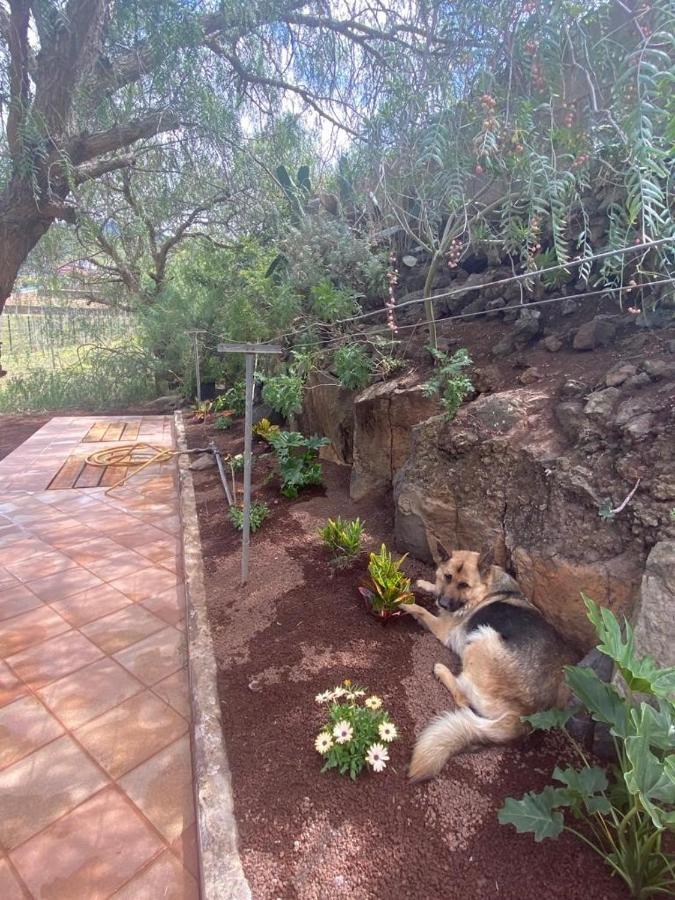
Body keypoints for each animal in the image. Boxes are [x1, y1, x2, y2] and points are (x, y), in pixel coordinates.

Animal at [402, 544, 576, 784]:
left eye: (464, 585)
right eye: (447, 577)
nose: (444, 603)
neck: (486, 589)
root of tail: (527, 716)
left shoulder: (444, 629)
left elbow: (420, 609)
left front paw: (403, 602)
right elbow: (433, 589)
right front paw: (427, 585)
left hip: (482, 636)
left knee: (462, 697)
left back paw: (442, 670)